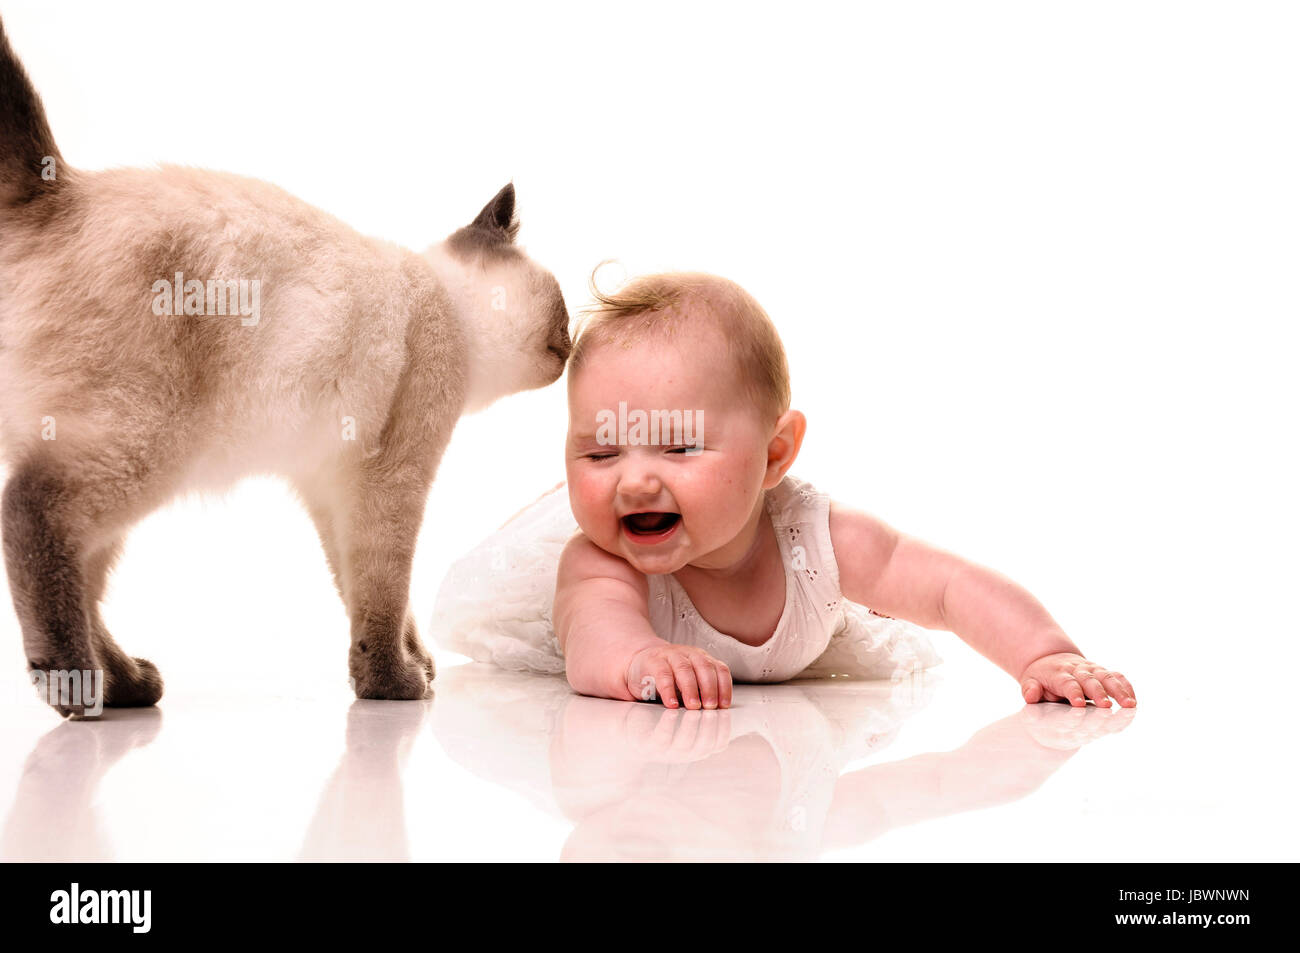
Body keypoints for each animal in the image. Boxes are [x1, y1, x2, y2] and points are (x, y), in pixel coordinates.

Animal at [0, 18, 569, 717]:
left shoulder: (333, 487)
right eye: (562, 309)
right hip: (144, 446)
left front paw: (415, 666)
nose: (575, 342)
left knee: (84, 571)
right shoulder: (392, 479)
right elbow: (385, 590)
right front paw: (395, 685)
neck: (444, 303)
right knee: (31, 513)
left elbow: (365, 592)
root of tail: (61, 187)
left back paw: (128, 683)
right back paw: (75, 686)